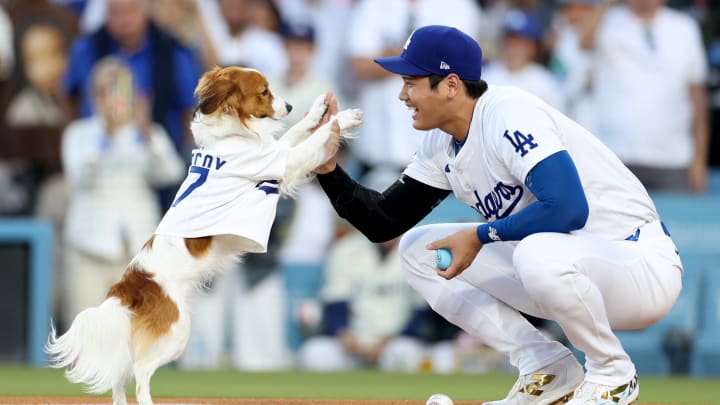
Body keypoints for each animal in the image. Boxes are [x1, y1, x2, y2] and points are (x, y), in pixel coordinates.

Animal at [43, 66, 360, 404]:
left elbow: (296, 132)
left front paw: (319, 110)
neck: (231, 135)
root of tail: (128, 286)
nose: (287, 106)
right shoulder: (279, 164)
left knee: (121, 376)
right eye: (264, 92)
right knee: (140, 374)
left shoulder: (274, 154)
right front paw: (344, 119)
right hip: (177, 332)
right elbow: (311, 142)